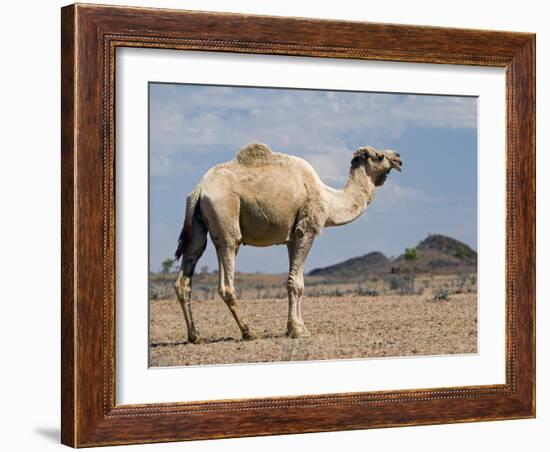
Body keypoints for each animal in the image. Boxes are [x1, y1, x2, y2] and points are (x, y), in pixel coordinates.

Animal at [175, 144, 404, 342]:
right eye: (379, 156)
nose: (399, 158)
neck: (329, 199)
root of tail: (198, 190)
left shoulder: (292, 238)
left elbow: (299, 283)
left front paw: (299, 327)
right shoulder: (307, 229)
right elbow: (295, 283)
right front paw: (297, 330)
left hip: (199, 225)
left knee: (187, 272)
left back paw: (195, 335)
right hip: (226, 217)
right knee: (227, 275)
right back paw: (249, 332)